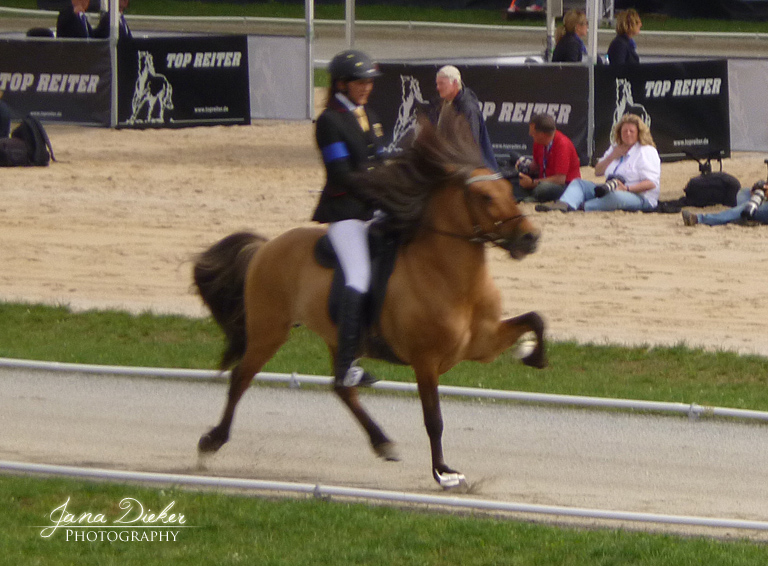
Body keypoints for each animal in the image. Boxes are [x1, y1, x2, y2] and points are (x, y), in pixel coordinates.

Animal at [195, 111, 548, 488]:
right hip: (269, 331)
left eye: (509, 191)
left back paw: (382, 442)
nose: (530, 238)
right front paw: (443, 472)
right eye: (484, 196)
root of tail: (266, 247)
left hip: (335, 337)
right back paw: (211, 441)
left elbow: (535, 318)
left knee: (341, 387)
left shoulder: (482, 344)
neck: (452, 278)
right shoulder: (426, 361)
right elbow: (434, 419)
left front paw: (532, 355)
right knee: (240, 377)